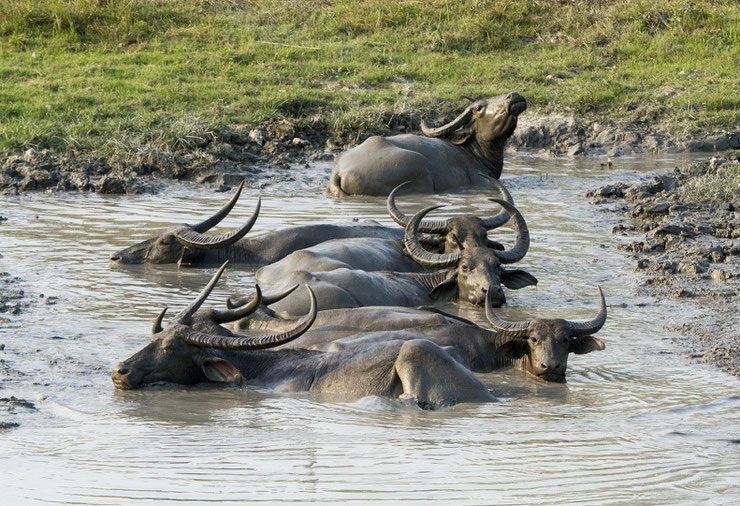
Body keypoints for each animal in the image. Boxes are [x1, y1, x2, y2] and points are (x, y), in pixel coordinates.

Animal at [111, 262, 498, 410]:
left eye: (170, 347)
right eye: (155, 337)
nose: (119, 371)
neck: (261, 369)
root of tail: (484, 393)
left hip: (416, 351)